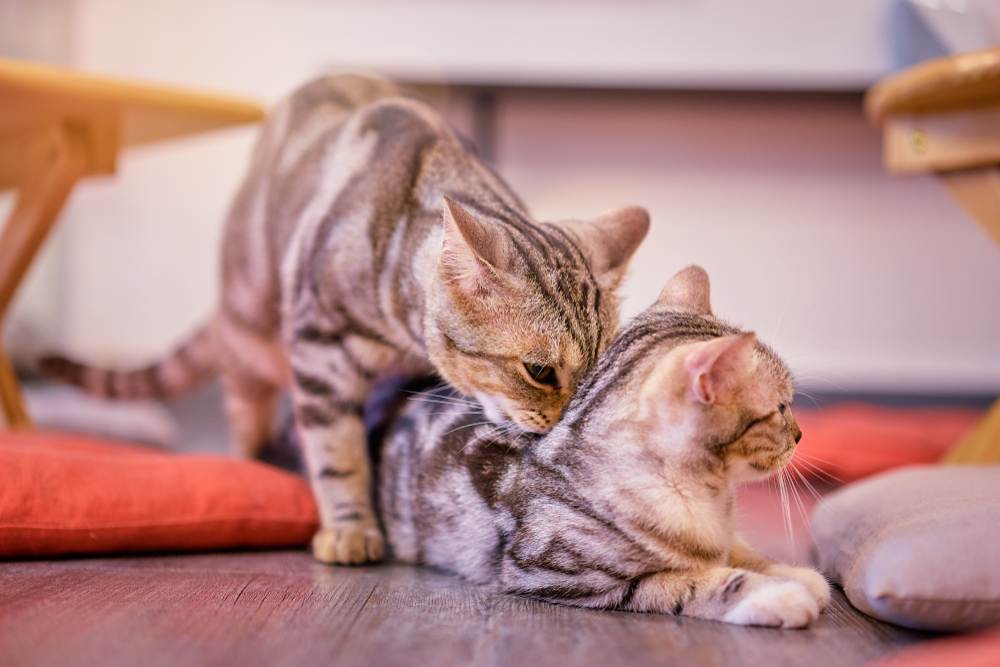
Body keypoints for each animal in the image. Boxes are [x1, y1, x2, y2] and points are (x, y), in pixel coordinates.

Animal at [41, 74, 648, 564]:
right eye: (539, 372)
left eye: (598, 372)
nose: (570, 426)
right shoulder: (318, 351)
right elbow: (338, 452)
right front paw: (352, 528)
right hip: (250, 338)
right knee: (248, 420)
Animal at [376, 264, 828, 628]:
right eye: (781, 407)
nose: (801, 435)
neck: (711, 495)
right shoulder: (565, 576)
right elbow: (688, 582)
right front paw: (773, 593)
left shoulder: (725, 537)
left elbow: (741, 548)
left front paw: (793, 573)